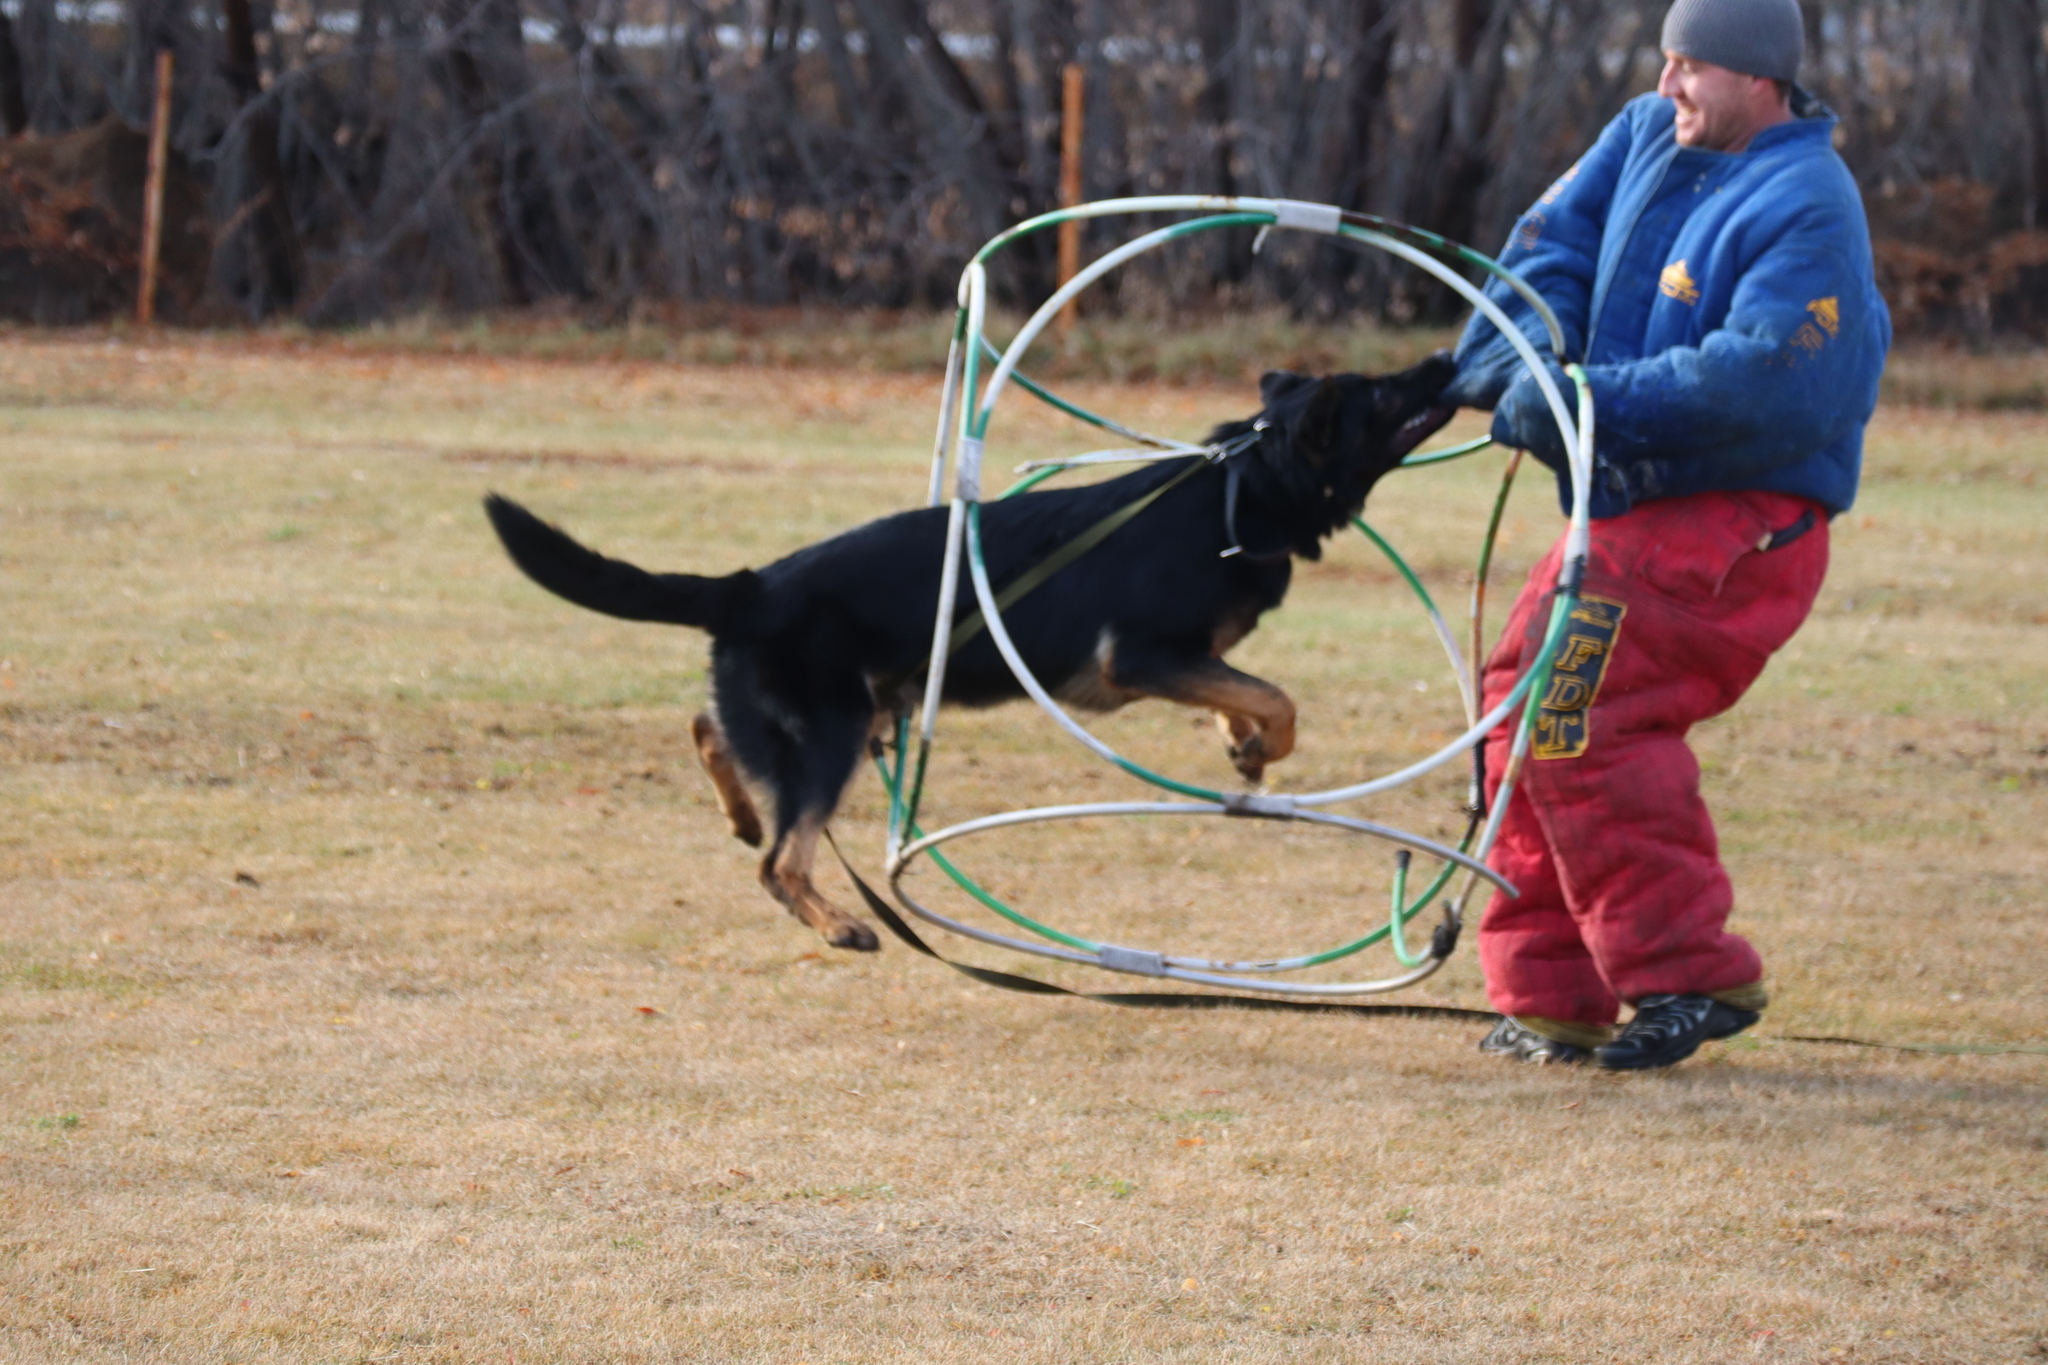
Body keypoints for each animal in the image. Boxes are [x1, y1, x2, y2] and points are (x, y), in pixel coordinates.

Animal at [489, 351, 1466, 949]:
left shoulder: (1183, 662)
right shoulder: (1139, 660)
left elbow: (1244, 692)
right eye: (1383, 394)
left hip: (842, 715)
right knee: (782, 858)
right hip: (837, 734)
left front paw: (1246, 751)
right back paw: (837, 922)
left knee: (710, 732)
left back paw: (740, 813)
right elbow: (1277, 695)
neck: (1244, 486)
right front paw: (1263, 741)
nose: (1448, 359)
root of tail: (753, 583)